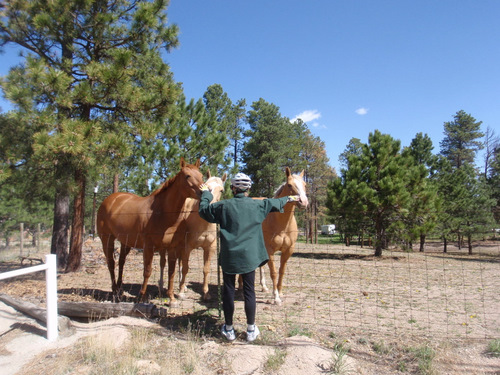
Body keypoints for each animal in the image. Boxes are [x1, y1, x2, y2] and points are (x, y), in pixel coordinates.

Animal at [96, 157, 204, 304]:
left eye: (201, 175)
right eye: (187, 176)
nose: (204, 192)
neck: (162, 213)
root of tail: (109, 199)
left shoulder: (172, 247)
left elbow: (171, 272)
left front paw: (171, 298)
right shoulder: (148, 247)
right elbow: (147, 271)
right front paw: (142, 296)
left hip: (125, 242)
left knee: (121, 262)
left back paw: (119, 288)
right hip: (107, 239)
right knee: (111, 263)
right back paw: (114, 290)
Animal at [158, 172, 227, 302]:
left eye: (221, 190)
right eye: (206, 186)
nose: (210, 207)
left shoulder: (209, 248)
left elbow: (206, 269)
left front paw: (206, 293)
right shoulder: (187, 247)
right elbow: (186, 268)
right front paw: (180, 293)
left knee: (179, 263)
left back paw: (183, 286)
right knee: (163, 263)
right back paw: (162, 285)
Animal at [262, 169, 308, 304]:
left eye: (305, 185)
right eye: (290, 185)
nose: (303, 202)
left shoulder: (288, 250)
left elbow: (281, 271)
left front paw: (280, 292)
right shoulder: (269, 251)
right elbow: (273, 272)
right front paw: (276, 297)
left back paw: (264, 287)